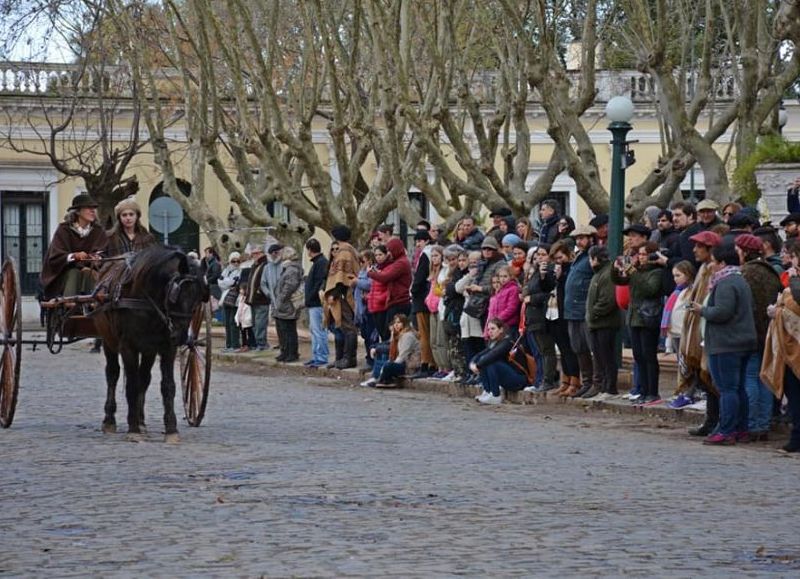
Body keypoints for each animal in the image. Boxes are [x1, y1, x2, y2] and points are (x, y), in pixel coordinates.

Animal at [92, 246, 208, 444]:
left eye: (199, 298)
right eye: (176, 295)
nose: (181, 336)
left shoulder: (167, 347)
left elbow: (168, 386)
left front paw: (171, 429)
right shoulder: (127, 347)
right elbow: (131, 385)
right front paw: (133, 430)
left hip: (149, 351)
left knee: (144, 378)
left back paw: (141, 421)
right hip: (108, 341)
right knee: (113, 375)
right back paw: (110, 420)